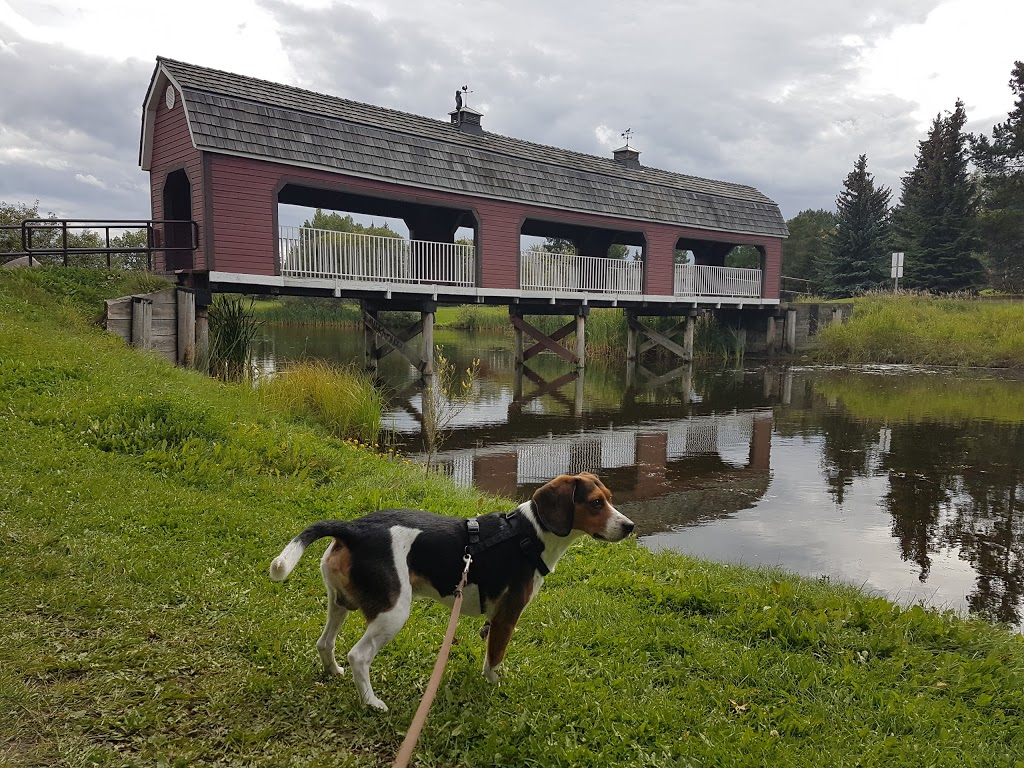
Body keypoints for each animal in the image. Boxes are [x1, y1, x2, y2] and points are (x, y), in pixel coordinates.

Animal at [266, 473, 630, 712]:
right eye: (596, 504)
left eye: (611, 498)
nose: (630, 527)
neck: (530, 534)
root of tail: (352, 529)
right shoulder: (507, 619)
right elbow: (494, 660)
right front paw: (495, 686)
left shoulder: (494, 619)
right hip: (393, 613)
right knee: (358, 655)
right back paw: (372, 702)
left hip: (340, 603)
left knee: (325, 643)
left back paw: (334, 673)